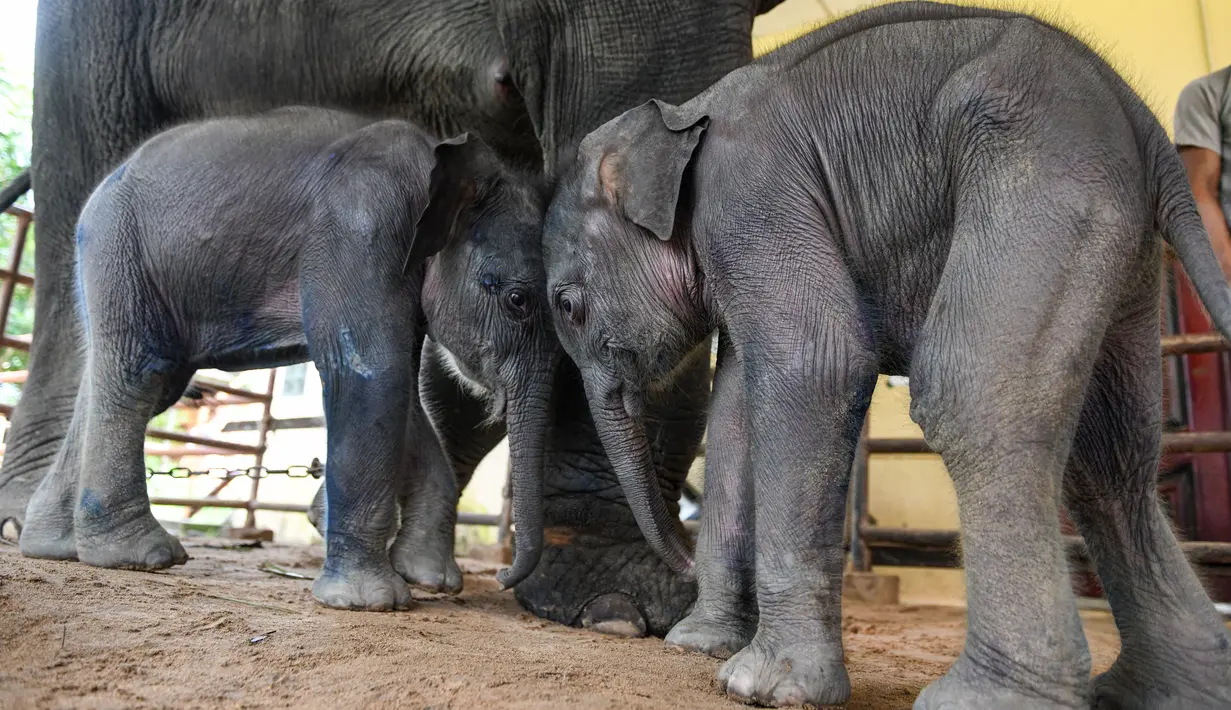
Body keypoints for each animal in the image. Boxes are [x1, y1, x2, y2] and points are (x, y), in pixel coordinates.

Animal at [19, 105, 556, 610]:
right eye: (518, 301)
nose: (502, 577)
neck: (442, 160)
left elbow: (402, 388)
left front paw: (431, 579)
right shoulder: (361, 228)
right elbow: (370, 372)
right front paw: (369, 602)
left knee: (128, 380)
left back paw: (54, 546)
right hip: (118, 247)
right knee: (142, 372)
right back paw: (141, 556)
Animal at [544, 4, 1231, 708]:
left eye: (566, 305)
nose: (678, 560)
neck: (683, 115)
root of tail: (1142, 121)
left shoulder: (751, 199)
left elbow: (816, 364)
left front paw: (761, 685)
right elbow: (735, 416)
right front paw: (698, 647)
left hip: (1042, 174)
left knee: (972, 397)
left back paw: (981, 696)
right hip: (1119, 236)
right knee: (1110, 456)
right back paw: (1164, 687)